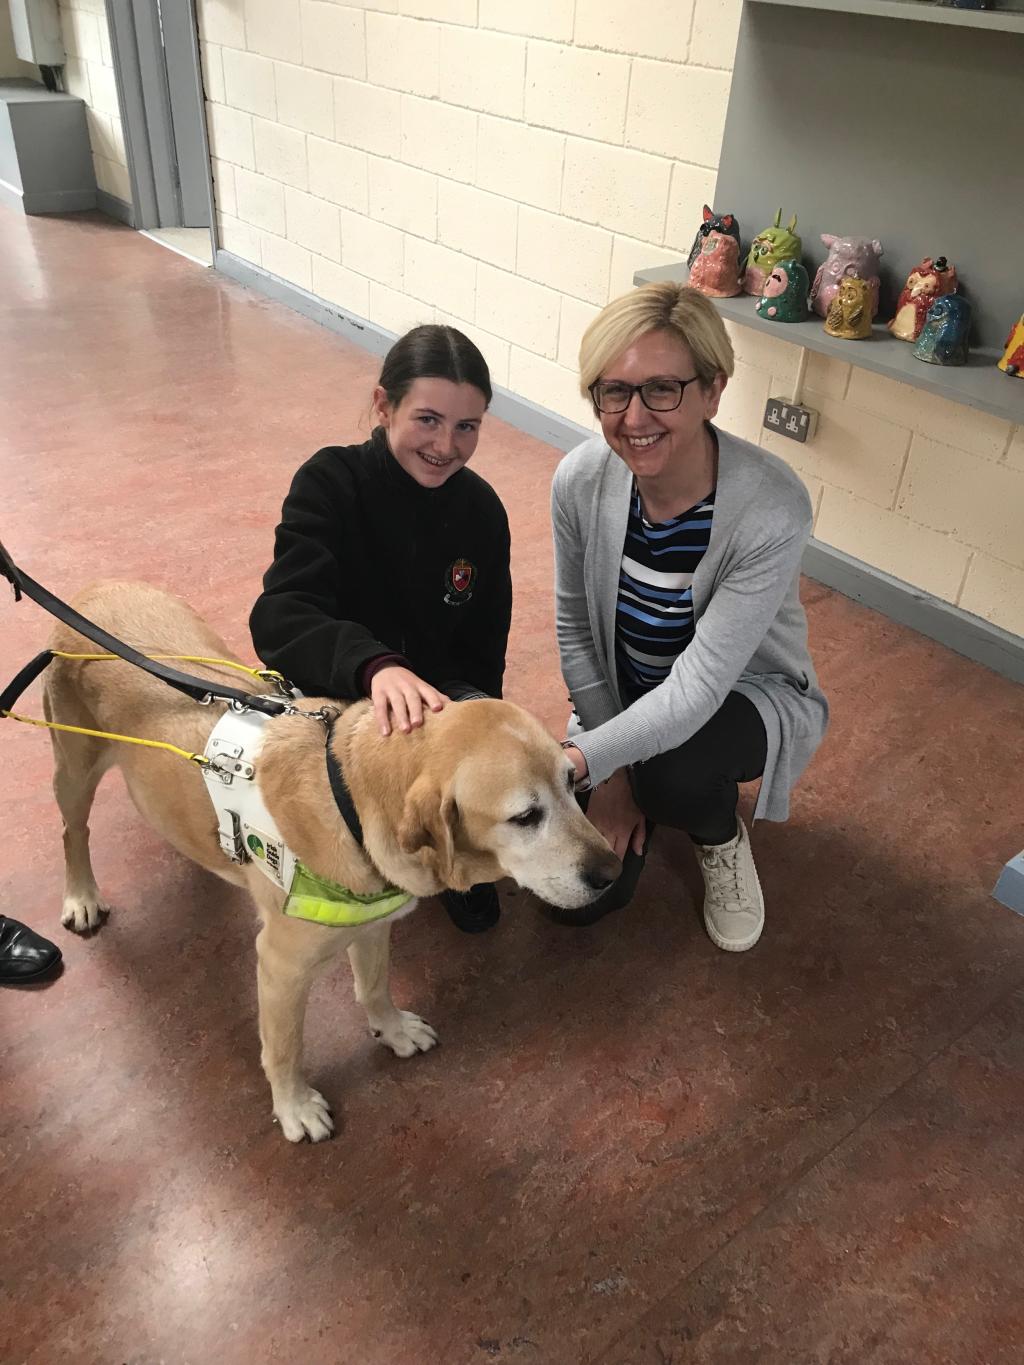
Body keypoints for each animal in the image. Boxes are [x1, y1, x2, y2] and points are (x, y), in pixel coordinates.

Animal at [40, 584, 622, 1141]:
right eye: (525, 816)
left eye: (571, 781)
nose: (611, 873)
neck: (350, 800)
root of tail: (94, 590)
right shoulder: (280, 965)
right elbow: (284, 1048)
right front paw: (293, 1107)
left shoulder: (372, 924)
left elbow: (374, 986)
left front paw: (391, 1030)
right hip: (74, 767)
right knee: (73, 830)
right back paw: (82, 896)